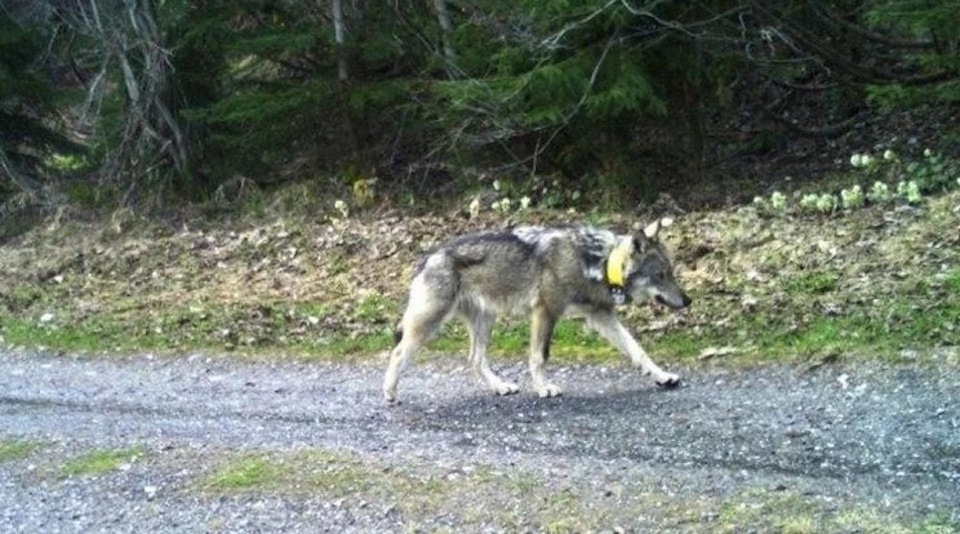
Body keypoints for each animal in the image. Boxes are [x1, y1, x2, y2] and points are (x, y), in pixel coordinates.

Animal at [382, 220, 688, 404]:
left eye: (671, 273)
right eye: (661, 275)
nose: (688, 301)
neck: (595, 261)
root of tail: (427, 256)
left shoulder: (601, 315)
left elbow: (637, 350)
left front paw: (662, 376)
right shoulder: (545, 311)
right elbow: (540, 357)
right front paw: (543, 389)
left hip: (485, 321)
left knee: (475, 360)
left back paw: (500, 387)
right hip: (430, 323)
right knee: (398, 352)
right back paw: (390, 393)